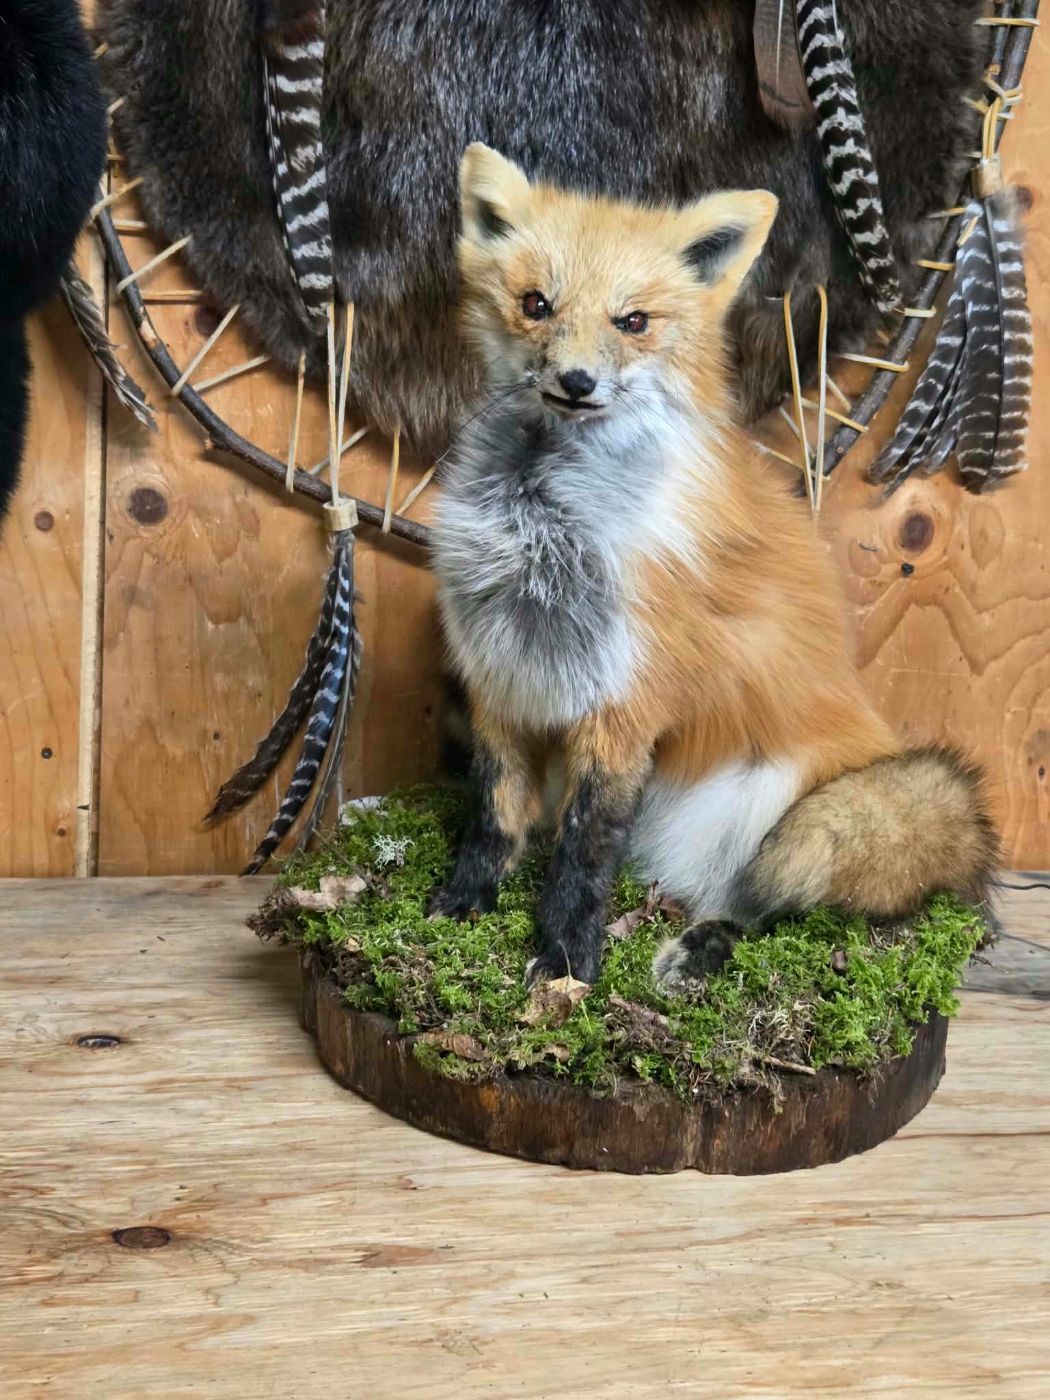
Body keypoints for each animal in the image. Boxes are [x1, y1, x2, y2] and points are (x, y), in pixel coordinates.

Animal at [429, 142, 996, 990]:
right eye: (536, 304)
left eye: (632, 321)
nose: (576, 382)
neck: (543, 523)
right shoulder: (500, 674)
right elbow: (495, 816)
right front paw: (466, 903)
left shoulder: (625, 703)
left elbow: (585, 850)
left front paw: (566, 958)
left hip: (764, 809)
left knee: (768, 903)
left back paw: (702, 947)